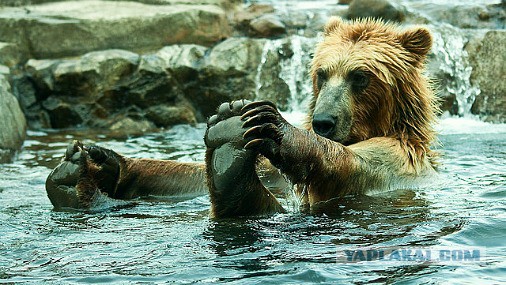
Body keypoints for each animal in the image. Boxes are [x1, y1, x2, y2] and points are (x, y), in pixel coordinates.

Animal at [44, 17, 438, 217]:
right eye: (322, 73)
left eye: (360, 76)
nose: (323, 121)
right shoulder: (269, 168)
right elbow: (189, 178)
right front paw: (99, 160)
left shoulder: (397, 158)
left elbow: (348, 164)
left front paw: (275, 125)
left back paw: (230, 140)